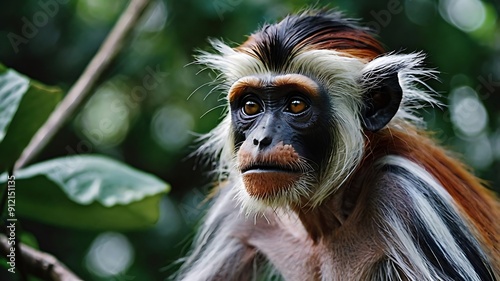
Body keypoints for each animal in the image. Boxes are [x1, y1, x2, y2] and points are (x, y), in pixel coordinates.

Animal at [174, 8, 498, 280]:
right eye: (251, 106)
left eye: (296, 104)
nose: (260, 139)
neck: (324, 222)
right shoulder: (233, 210)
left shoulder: (409, 195)